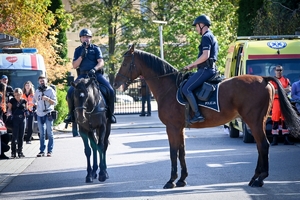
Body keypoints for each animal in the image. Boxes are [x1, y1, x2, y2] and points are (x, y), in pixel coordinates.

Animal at [113, 15, 300, 189]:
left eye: (125, 63)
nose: (115, 83)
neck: (168, 87)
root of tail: (263, 79)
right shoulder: (179, 128)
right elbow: (182, 152)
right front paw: (182, 179)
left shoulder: (172, 127)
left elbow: (173, 152)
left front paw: (171, 180)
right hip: (258, 121)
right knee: (262, 146)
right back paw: (255, 178)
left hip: (253, 121)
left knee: (263, 145)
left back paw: (259, 179)